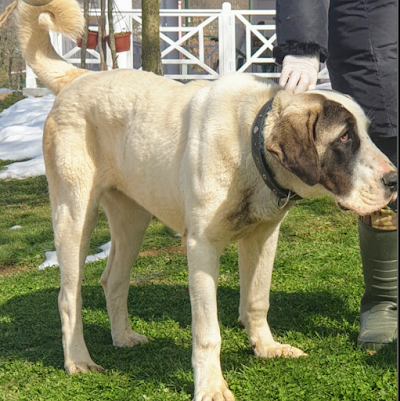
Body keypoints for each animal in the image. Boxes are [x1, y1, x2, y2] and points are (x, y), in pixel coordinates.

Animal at [16, 1, 396, 398]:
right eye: (344, 138)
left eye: (367, 133)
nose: (393, 180)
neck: (249, 140)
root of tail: (79, 77)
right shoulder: (202, 247)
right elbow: (207, 332)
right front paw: (211, 385)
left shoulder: (264, 238)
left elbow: (257, 299)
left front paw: (266, 347)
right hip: (74, 215)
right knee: (69, 296)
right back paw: (78, 360)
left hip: (133, 219)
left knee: (113, 279)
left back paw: (123, 337)